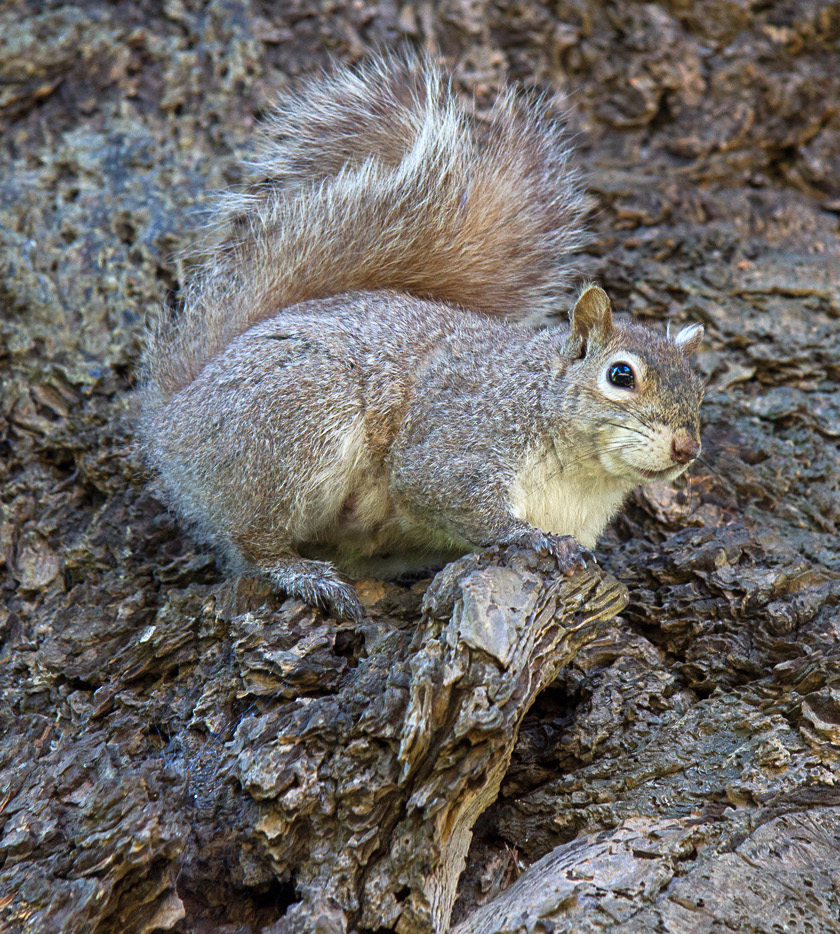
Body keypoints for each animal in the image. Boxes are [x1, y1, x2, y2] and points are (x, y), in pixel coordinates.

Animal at [138, 60, 704, 628]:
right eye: (620, 375)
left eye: (701, 392)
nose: (688, 448)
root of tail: (172, 417)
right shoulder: (458, 438)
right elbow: (447, 493)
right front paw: (533, 540)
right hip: (296, 422)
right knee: (253, 540)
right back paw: (303, 574)